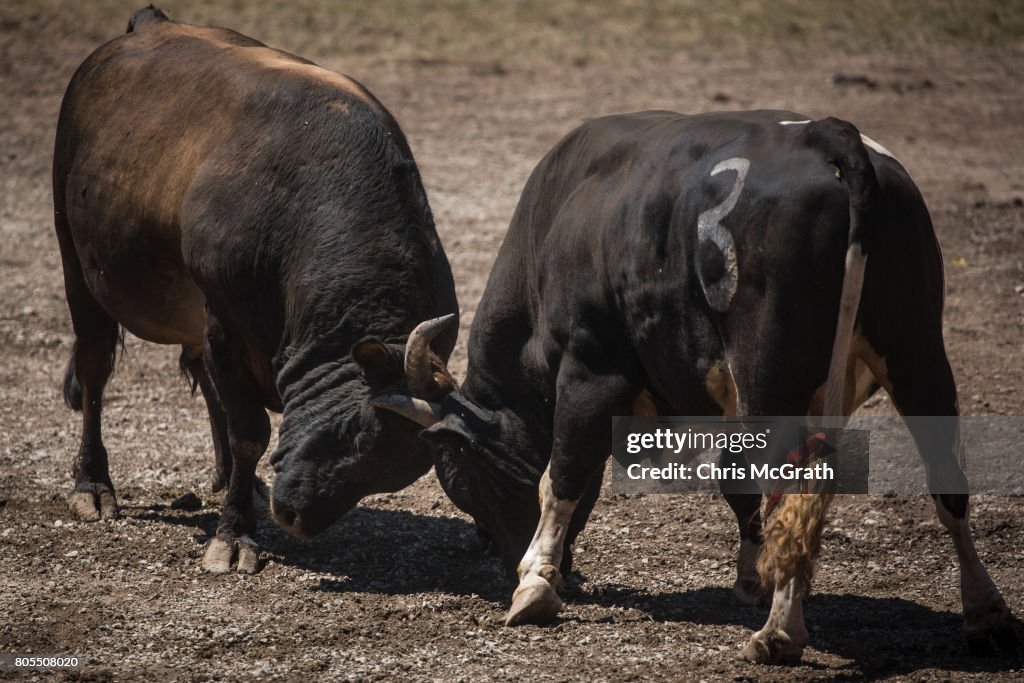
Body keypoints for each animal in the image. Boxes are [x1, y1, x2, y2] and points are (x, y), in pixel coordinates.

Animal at [53, 6, 458, 573]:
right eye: (357, 431)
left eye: (393, 473)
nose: (297, 518)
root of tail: (149, 21)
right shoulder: (226, 320)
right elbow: (249, 433)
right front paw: (235, 532)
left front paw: (241, 502)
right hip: (77, 259)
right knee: (94, 371)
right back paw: (92, 483)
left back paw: (229, 479)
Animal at [373, 110, 1018, 661]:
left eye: (463, 481)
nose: (499, 555)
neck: (558, 218)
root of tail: (827, 135)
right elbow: (736, 485)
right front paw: (752, 576)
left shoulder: (591, 367)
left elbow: (562, 476)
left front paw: (533, 582)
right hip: (917, 352)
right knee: (945, 482)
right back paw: (984, 614)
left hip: (772, 378)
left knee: (797, 486)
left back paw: (781, 635)